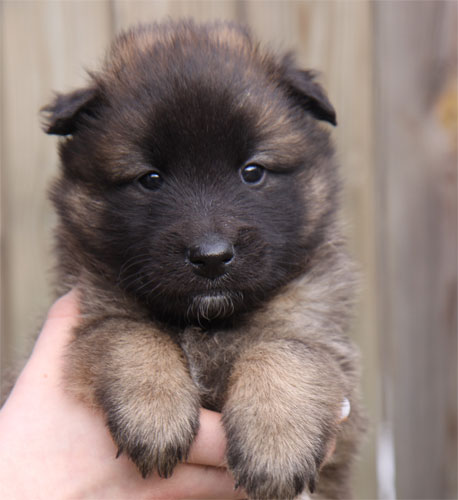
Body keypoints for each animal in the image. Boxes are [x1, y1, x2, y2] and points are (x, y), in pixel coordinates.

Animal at [42, 20, 364, 499]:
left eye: (252, 172)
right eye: (150, 179)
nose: (211, 258)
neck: (208, 324)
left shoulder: (322, 332)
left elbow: (289, 348)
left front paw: (276, 441)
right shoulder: (95, 304)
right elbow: (126, 331)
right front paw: (154, 411)